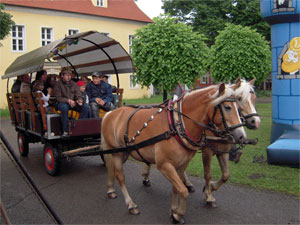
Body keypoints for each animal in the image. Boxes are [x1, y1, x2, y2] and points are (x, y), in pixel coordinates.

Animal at [101, 83, 246, 223]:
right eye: (227, 107)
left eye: (238, 106)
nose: (241, 136)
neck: (176, 125)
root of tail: (110, 113)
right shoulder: (165, 165)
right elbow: (183, 190)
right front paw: (178, 214)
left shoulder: (181, 164)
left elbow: (177, 188)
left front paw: (174, 210)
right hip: (117, 153)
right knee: (120, 176)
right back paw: (131, 204)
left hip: (124, 152)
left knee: (112, 168)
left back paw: (111, 189)